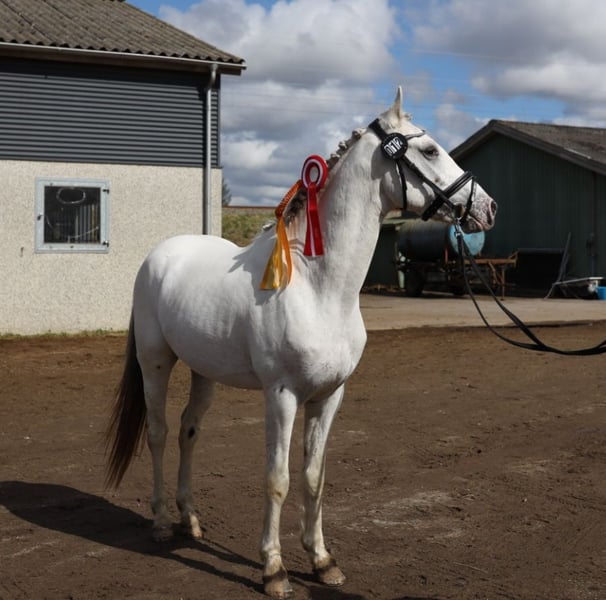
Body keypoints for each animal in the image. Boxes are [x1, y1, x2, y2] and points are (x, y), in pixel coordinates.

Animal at [105, 87, 497, 598]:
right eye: (430, 151)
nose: (488, 208)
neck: (319, 288)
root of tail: (159, 256)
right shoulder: (283, 396)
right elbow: (278, 478)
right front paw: (273, 569)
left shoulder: (329, 397)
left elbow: (314, 477)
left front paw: (322, 561)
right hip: (155, 362)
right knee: (159, 433)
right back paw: (159, 523)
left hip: (204, 371)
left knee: (190, 431)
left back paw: (189, 521)